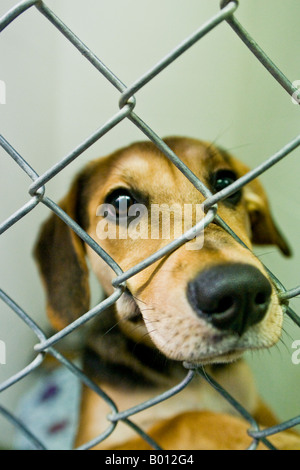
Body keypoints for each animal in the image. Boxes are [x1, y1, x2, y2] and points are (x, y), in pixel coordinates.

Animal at [34, 136, 298, 448]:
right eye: (121, 202)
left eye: (226, 181)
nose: (240, 292)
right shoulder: (97, 437)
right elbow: (185, 419)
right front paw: (283, 439)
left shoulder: (254, 404)